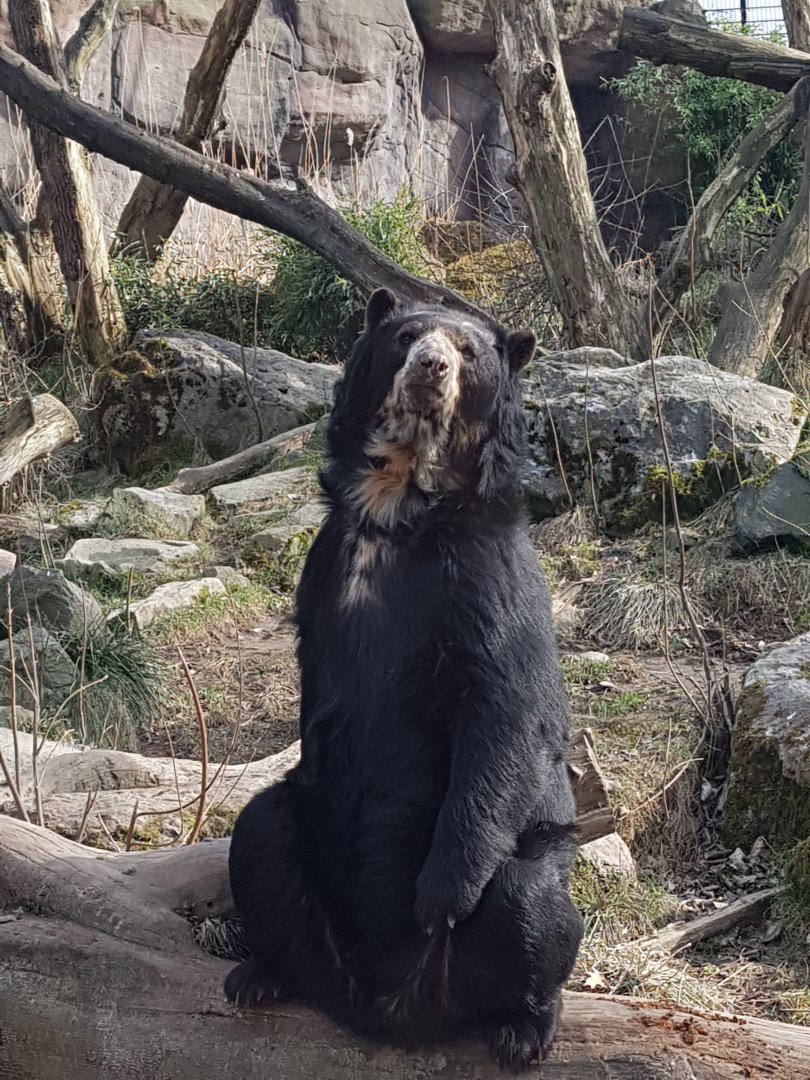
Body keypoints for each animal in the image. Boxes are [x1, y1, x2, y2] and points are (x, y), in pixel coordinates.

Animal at [225, 289, 584, 1071]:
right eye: (408, 336)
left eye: (469, 353)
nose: (432, 367)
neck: (397, 509)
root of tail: (388, 1005)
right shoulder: (325, 569)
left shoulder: (489, 584)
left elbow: (504, 710)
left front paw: (437, 899)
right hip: (296, 860)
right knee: (260, 833)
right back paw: (260, 975)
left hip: (518, 891)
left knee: (534, 908)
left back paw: (524, 1028)